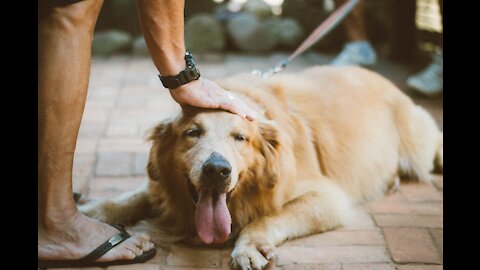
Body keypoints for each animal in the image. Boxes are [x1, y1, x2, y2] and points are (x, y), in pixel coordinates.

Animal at [79, 65, 442, 270]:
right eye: (192, 133)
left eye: (241, 137)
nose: (217, 170)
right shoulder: (163, 187)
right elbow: (132, 197)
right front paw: (93, 212)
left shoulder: (326, 198)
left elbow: (268, 216)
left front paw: (251, 245)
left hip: (420, 145)